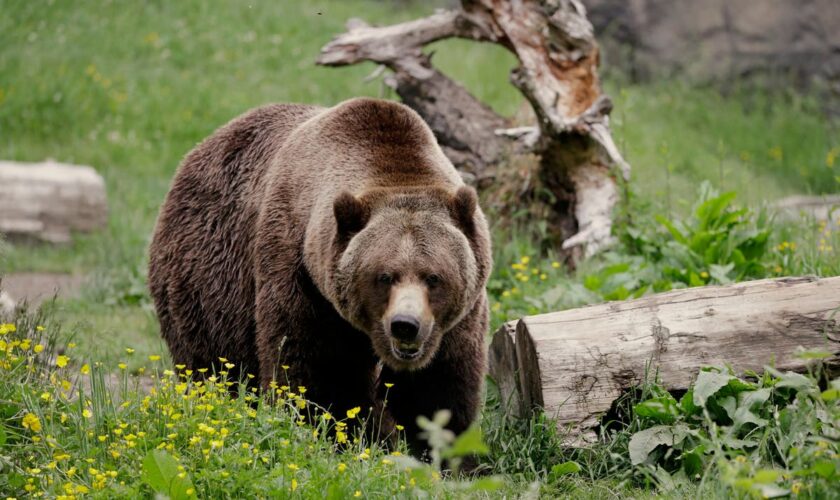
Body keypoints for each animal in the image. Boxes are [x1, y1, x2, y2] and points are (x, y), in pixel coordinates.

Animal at [149, 96, 492, 450]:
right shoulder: (301, 275)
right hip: (208, 282)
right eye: (384, 276)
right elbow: (317, 373)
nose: (405, 325)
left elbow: (438, 387)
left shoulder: (458, 317)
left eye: (433, 277)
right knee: (213, 362)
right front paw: (344, 434)